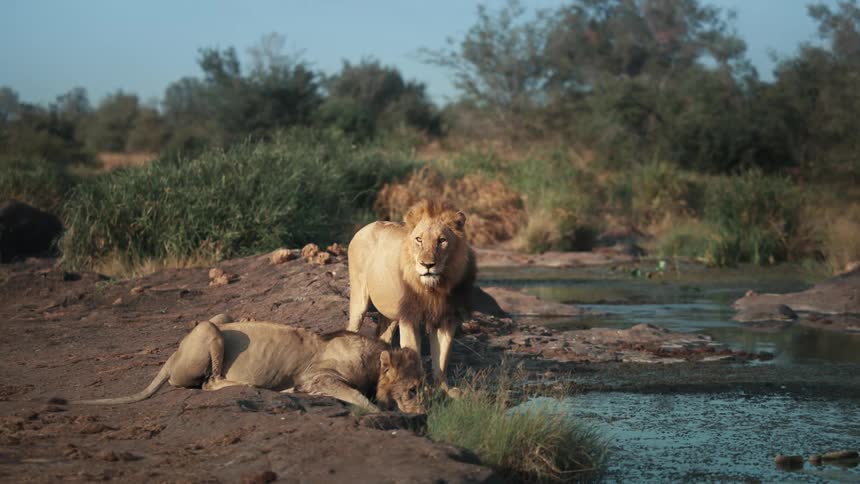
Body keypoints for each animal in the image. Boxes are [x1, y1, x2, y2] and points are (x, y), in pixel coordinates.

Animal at [73, 321, 424, 413]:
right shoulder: (316, 378)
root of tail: (172, 356)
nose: (423, 413)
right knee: (211, 382)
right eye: (412, 390)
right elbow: (360, 398)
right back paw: (252, 386)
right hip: (209, 329)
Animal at [346, 200, 476, 388]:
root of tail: (365, 227)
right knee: (352, 327)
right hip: (359, 298)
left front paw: (443, 389)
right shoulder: (409, 317)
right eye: (419, 239)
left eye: (442, 240)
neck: (434, 289)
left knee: (383, 336)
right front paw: (420, 389)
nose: (427, 265)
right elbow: (413, 352)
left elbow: (442, 359)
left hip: (391, 311)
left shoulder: (446, 318)